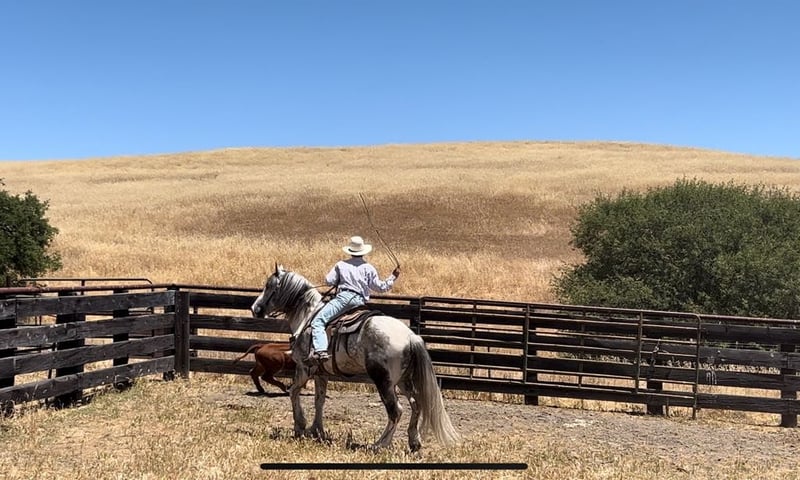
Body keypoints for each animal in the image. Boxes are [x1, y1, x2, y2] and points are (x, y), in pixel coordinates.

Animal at [250, 263, 459, 451]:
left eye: (269, 285)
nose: (255, 308)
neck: (308, 316)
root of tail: (411, 336)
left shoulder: (304, 368)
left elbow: (293, 392)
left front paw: (300, 427)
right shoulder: (320, 373)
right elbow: (319, 400)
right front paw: (317, 430)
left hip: (384, 381)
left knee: (396, 410)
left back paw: (380, 444)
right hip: (403, 380)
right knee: (415, 405)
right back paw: (414, 442)